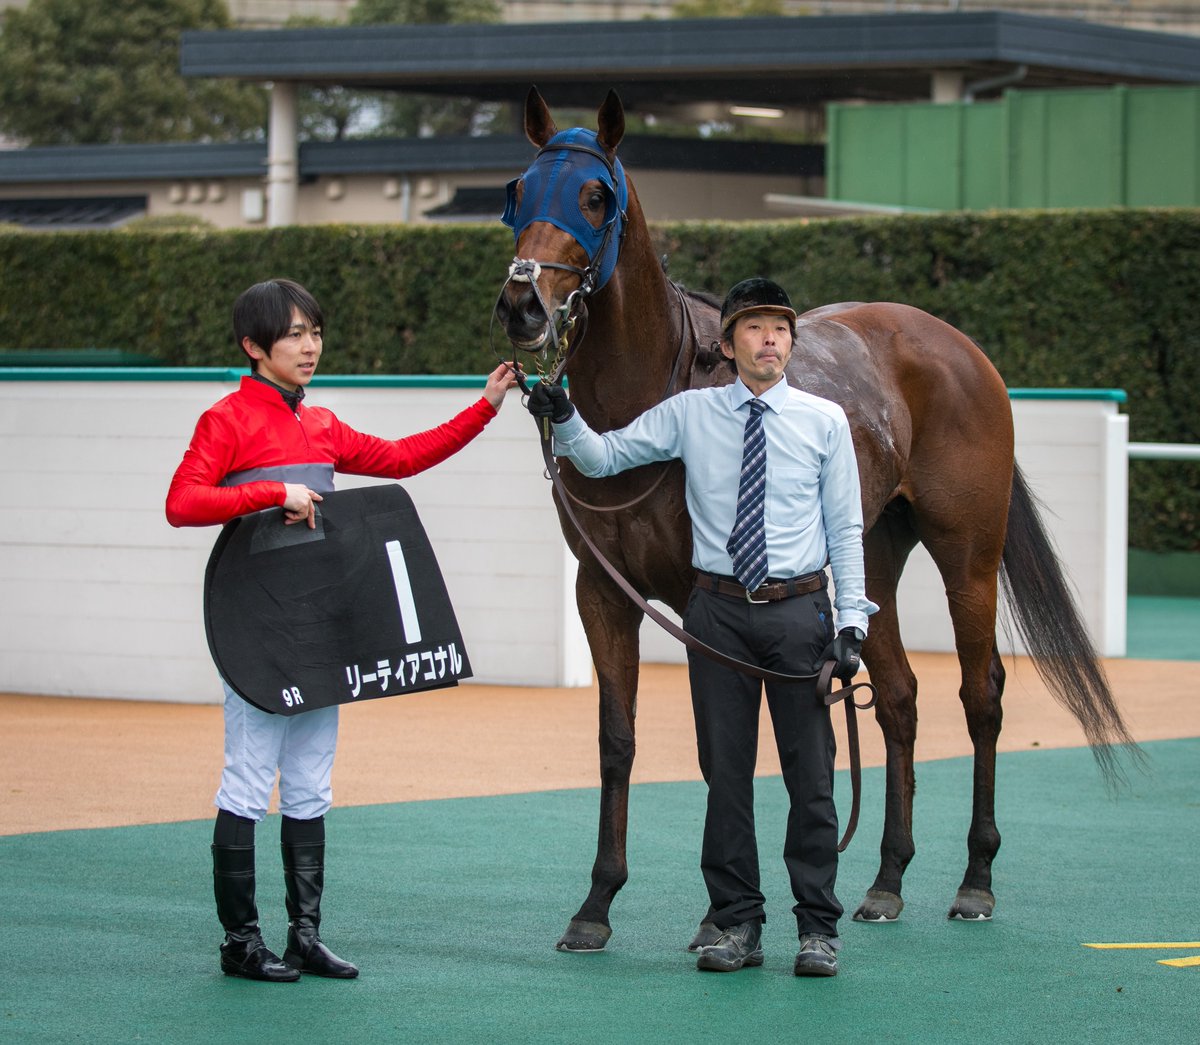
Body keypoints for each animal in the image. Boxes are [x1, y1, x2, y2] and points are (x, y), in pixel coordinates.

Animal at [495, 87, 1140, 953]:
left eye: (595, 197)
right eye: (518, 192)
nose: (522, 304)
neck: (654, 396)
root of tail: (957, 346)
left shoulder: (703, 595)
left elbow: (719, 751)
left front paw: (717, 915)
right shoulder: (603, 594)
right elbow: (618, 739)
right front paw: (596, 904)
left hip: (968, 552)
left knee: (982, 694)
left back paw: (975, 878)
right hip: (872, 555)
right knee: (897, 697)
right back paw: (887, 879)